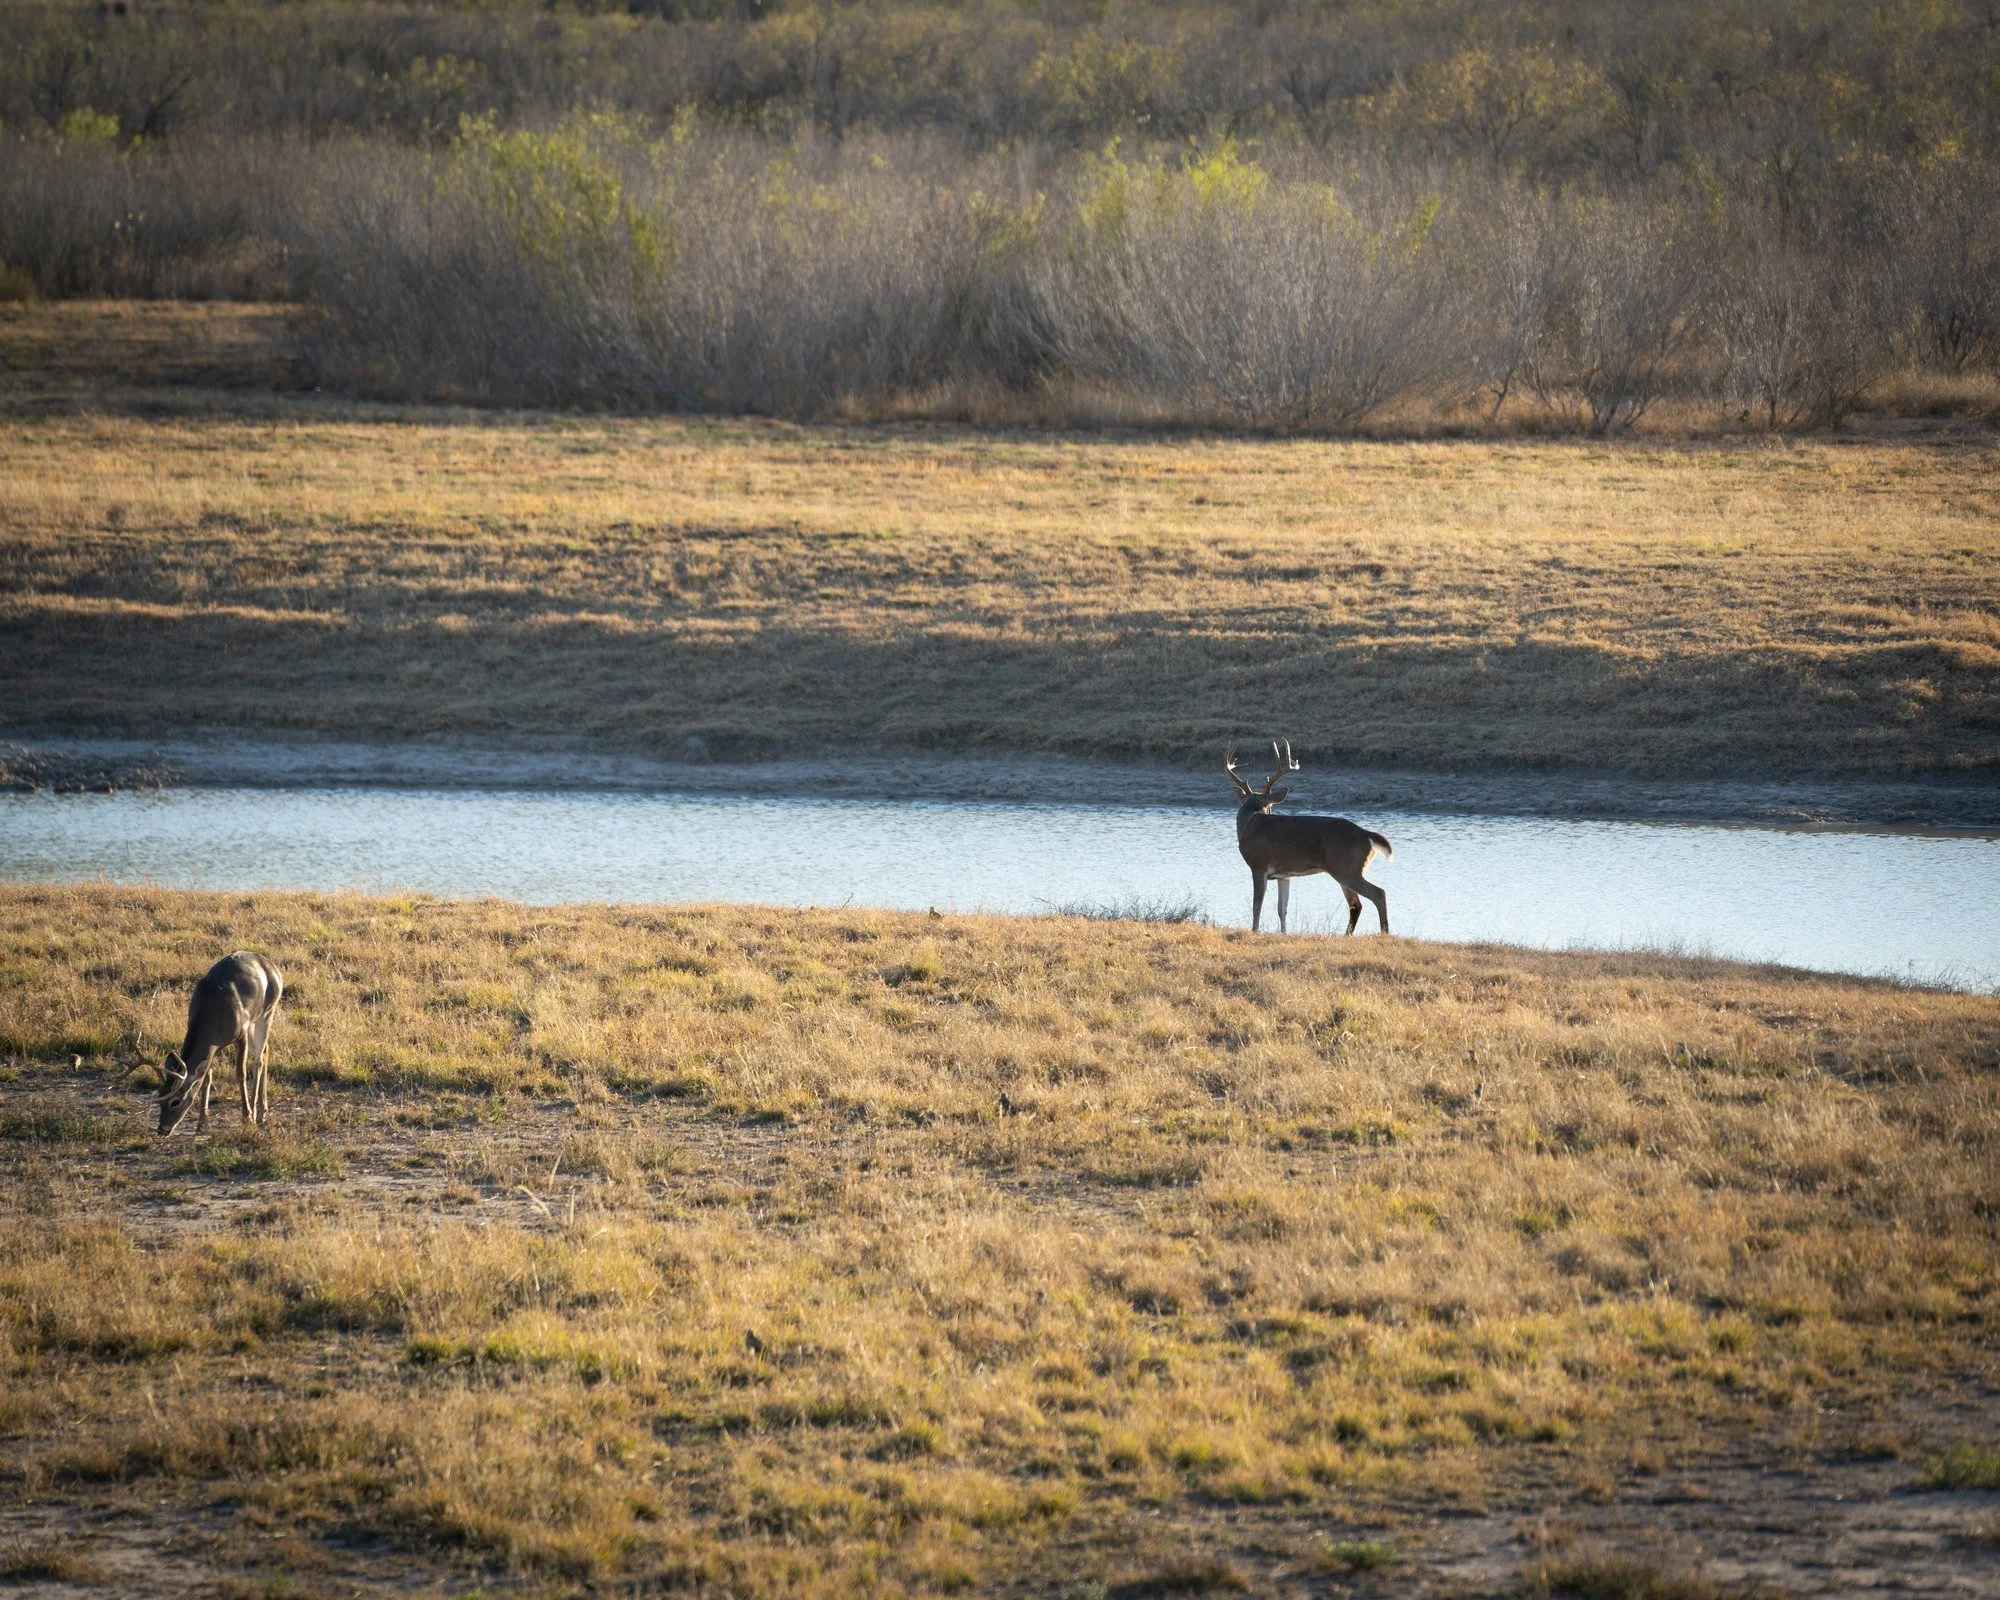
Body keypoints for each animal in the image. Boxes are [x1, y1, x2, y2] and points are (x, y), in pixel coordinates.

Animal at [146, 952, 284, 1135]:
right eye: (160, 1097)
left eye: (176, 1101)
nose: (162, 1129)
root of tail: (273, 966)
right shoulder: (214, 1046)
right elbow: (206, 1076)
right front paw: (202, 1122)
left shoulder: (240, 1034)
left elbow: (240, 1073)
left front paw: (247, 1117)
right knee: (265, 1050)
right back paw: (263, 1111)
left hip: (267, 1012)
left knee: (258, 1061)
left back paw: (258, 1114)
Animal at [1227, 741, 1392, 935]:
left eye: (1270, 806)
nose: (1270, 811)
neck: (1249, 824)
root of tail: (1367, 835)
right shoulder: (1283, 874)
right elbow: (1282, 908)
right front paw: (1283, 933)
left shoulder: (1258, 866)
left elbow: (1257, 905)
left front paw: (1255, 931)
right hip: (1347, 870)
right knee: (1356, 904)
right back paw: (1348, 935)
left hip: (1347, 868)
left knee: (1378, 893)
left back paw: (1384, 932)